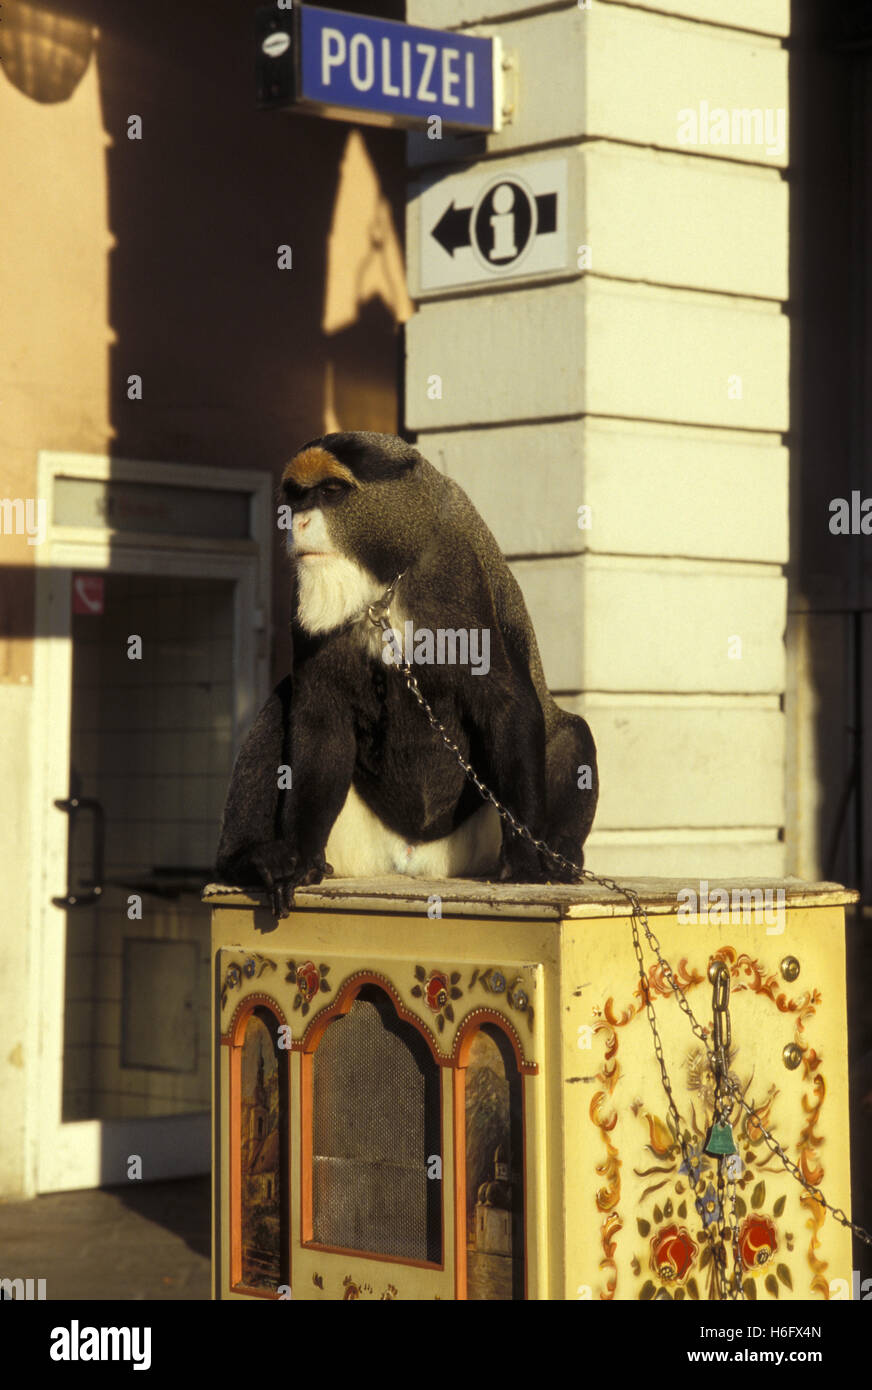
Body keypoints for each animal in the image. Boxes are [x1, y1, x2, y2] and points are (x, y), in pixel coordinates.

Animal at [216, 428, 600, 917]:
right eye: (297, 496)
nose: (297, 523)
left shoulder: (457, 571)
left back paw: (559, 860)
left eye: (332, 491)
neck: (384, 581)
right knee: (279, 706)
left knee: (572, 733)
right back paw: (253, 859)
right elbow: (319, 719)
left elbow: (505, 705)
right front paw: (297, 861)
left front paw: (526, 861)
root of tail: (413, 861)